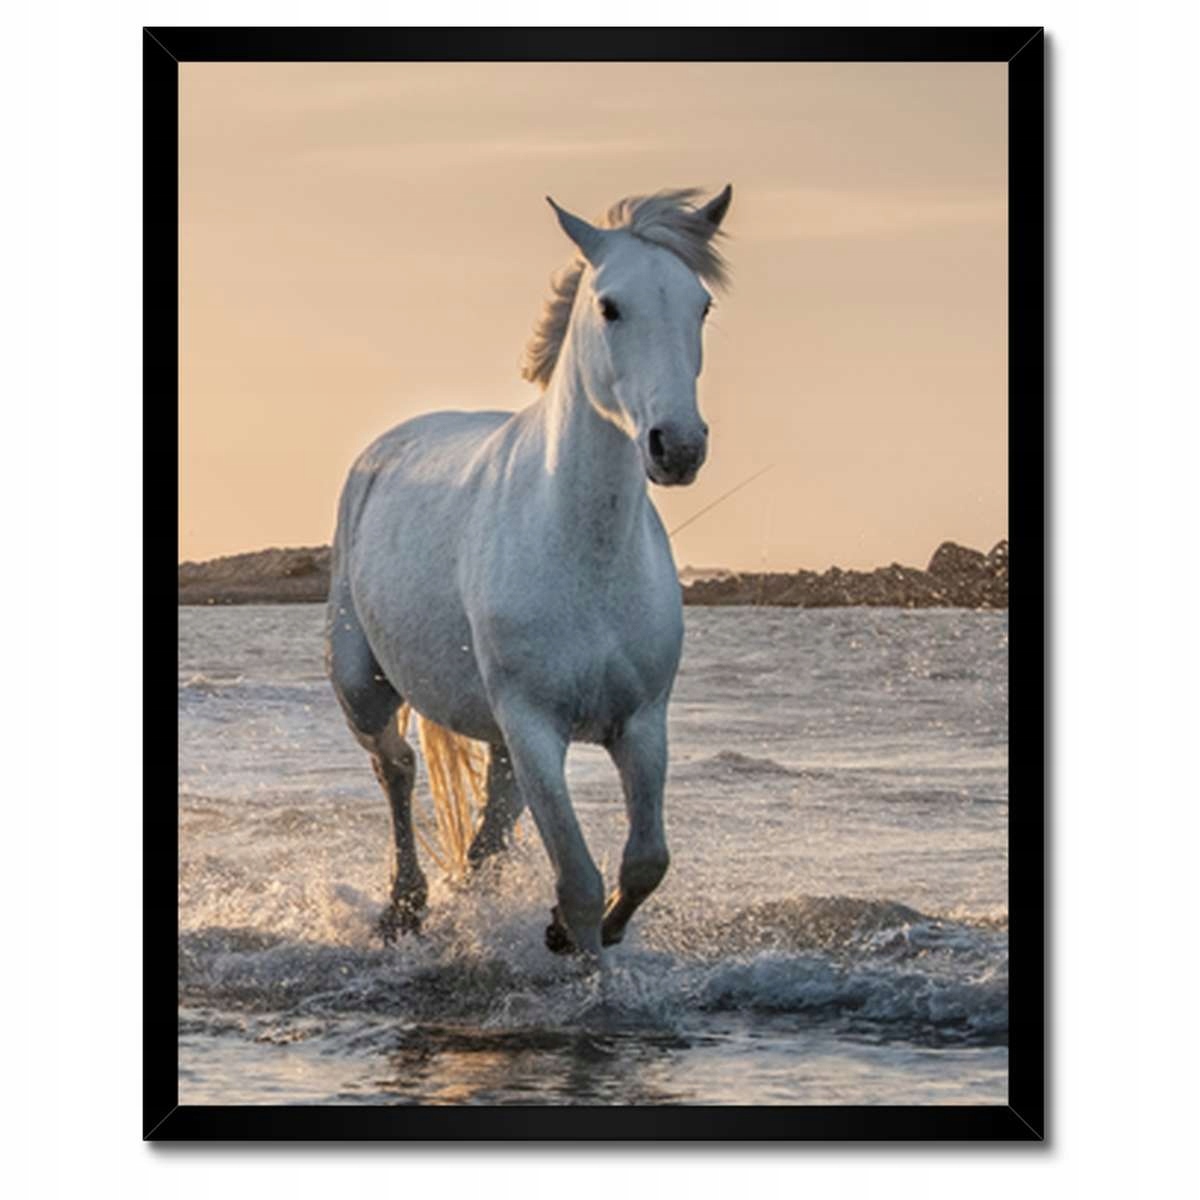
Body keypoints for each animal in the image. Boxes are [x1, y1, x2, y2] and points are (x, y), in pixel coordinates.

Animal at [326, 186, 733, 960]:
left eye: (702, 307)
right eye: (610, 306)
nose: (678, 447)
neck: (583, 552)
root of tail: (385, 449)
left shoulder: (642, 723)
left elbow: (644, 861)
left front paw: (575, 933)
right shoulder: (534, 726)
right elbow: (578, 880)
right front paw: (579, 951)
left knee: (485, 831)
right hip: (364, 688)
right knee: (396, 770)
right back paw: (404, 908)